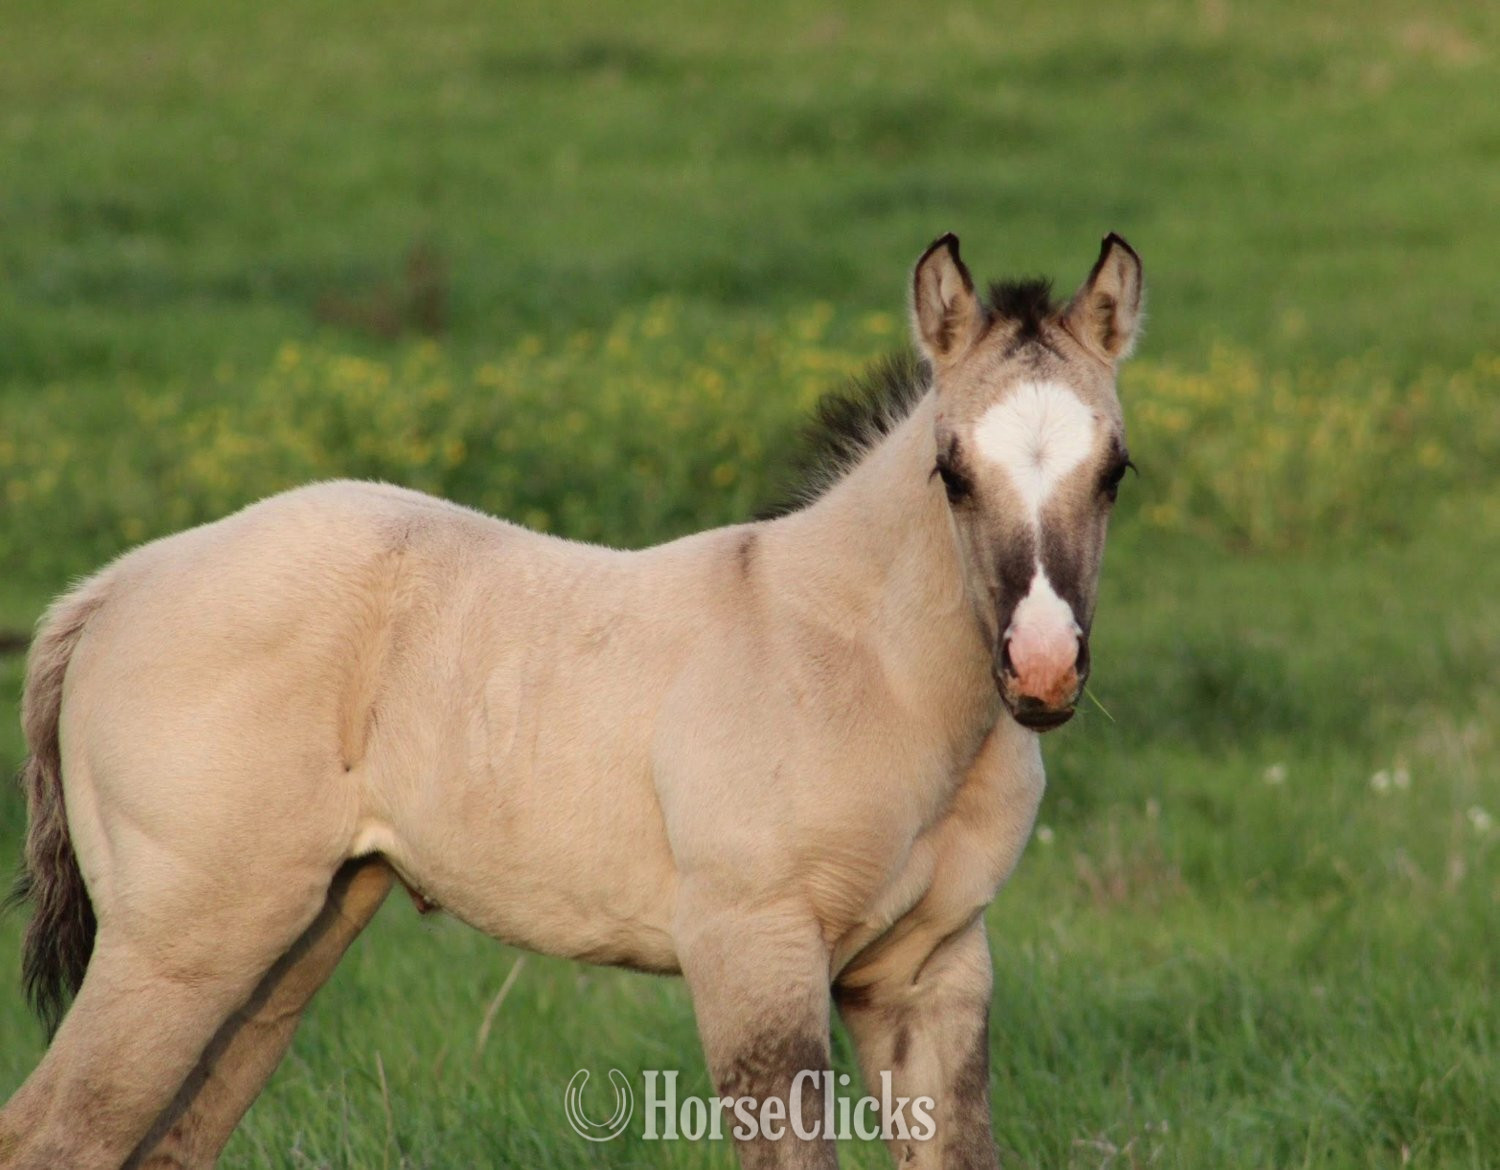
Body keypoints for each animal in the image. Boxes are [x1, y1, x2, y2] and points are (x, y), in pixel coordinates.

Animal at [0, 231, 1142, 1169]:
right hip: (175, 948)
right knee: (58, 1134)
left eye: (1116, 471)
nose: (1043, 669)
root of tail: (112, 589)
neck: (862, 665)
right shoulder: (753, 953)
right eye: (951, 471)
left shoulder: (932, 974)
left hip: (287, 942)